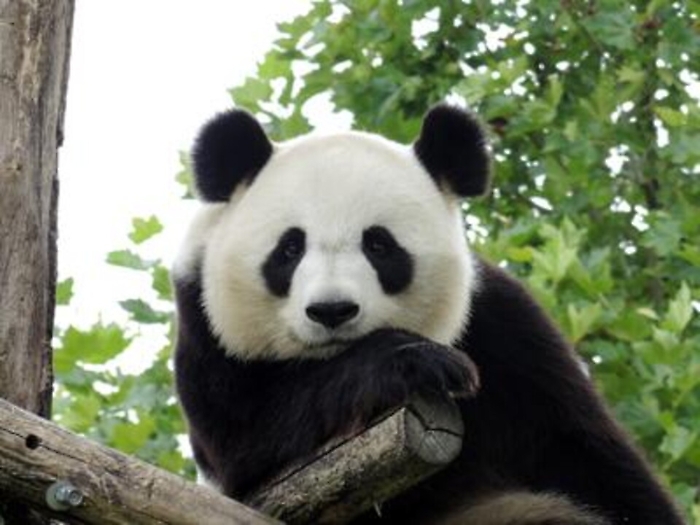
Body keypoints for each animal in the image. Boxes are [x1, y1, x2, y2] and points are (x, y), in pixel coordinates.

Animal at [172, 105, 684, 524]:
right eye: (290, 249)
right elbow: (250, 433)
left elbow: (584, 452)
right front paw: (417, 361)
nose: (332, 310)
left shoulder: (507, 331)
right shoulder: (205, 327)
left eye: (379, 245)